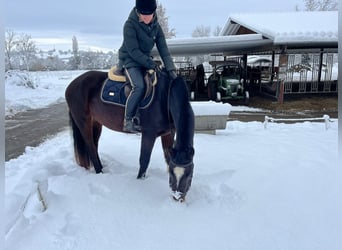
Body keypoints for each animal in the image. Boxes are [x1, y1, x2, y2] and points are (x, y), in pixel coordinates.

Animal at [65, 68, 195, 201]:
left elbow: (168, 159)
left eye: (190, 174)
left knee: (94, 146)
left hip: (96, 122)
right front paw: (139, 181)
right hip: (83, 122)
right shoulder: (149, 134)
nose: (177, 197)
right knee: (90, 147)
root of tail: (72, 84)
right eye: (173, 174)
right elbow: (144, 160)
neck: (165, 97)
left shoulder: (169, 134)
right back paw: (100, 172)